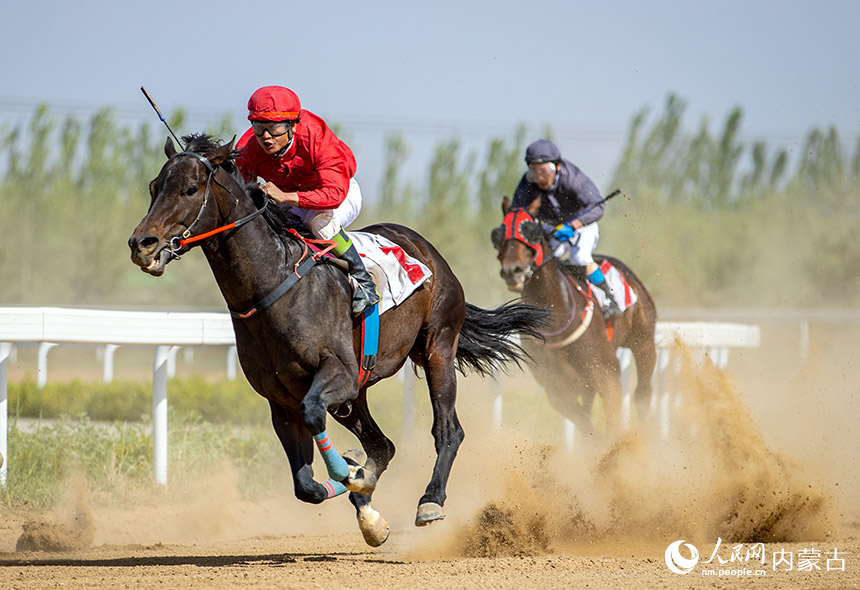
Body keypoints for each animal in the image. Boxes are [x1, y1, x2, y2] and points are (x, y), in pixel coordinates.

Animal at [127, 135, 544, 552]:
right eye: (152, 187)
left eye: (190, 188)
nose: (141, 244)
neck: (276, 285)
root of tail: (428, 251)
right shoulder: (281, 401)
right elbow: (306, 487)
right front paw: (360, 487)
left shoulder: (336, 375)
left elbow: (315, 416)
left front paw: (352, 473)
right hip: (356, 393)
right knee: (383, 445)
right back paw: (367, 500)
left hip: (436, 347)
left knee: (447, 430)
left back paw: (429, 500)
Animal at [490, 198, 660, 440]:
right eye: (498, 235)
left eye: (531, 231)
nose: (513, 271)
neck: (559, 315)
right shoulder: (557, 389)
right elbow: (586, 427)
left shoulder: (606, 372)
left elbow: (612, 421)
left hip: (643, 341)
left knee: (643, 394)